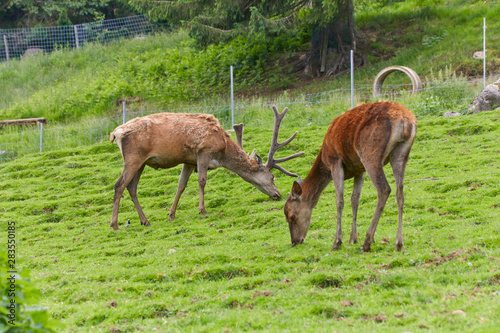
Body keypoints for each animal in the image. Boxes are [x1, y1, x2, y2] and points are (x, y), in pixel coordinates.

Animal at [109, 105, 302, 230]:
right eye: (272, 177)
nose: (278, 194)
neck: (223, 150)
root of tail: (115, 133)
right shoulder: (204, 152)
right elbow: (202, 181)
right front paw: (202, 210)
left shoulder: (189, 161)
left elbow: (181, 185)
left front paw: (171, 214)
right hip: (134, 157)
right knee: (119, 185)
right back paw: (115, 224)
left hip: (141, 162)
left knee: (131, 187)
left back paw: (145, 221)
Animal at [284, 101, 416, 252]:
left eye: (292, 216)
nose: (295, 241)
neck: (324, 157)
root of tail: (407, 121)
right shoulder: (359, 169)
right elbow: (355, 199)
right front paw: (353, 238)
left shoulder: (335, 161)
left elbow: (339, 200)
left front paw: (337, 241)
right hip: (401, 154)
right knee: (400, 192)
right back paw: (398, 243)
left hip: (370, 154)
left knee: (384, 189)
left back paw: (367, 242)